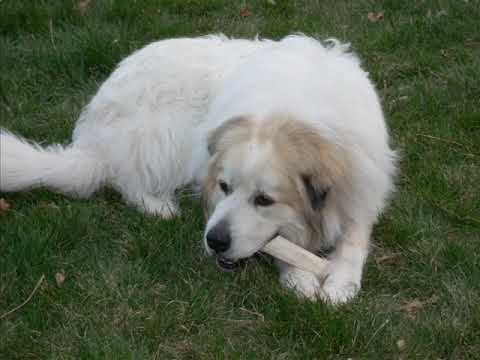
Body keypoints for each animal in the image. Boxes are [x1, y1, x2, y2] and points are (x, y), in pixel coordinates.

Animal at [1, 34, 396, 304]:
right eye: (223, 187)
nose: (215, 241)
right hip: (171, 135)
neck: (294, 113)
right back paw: (158, 206)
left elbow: (354, 238)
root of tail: (92, 137)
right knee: (126, 179)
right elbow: (287, 244)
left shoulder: (363, 185)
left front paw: (341, 281)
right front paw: (299, 277)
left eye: (264, 200)